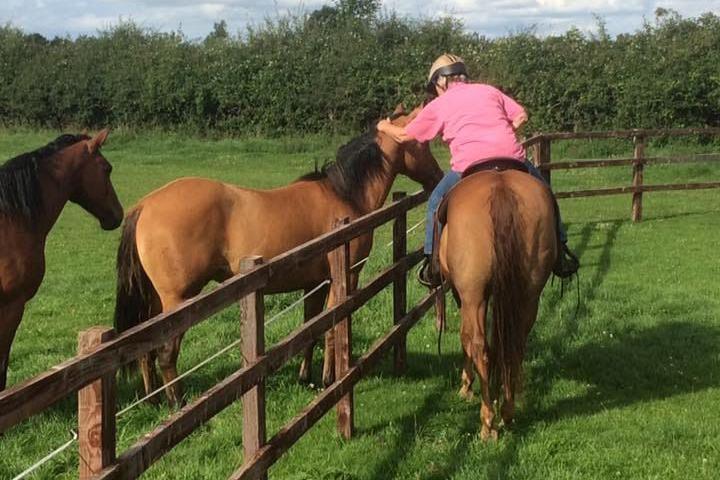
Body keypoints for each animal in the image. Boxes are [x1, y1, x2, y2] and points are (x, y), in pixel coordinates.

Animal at [114, 107, 442, 406]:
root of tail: (144, 206)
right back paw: (177, 403)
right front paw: (329, 380)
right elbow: (333, 328)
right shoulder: (344, 277)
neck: (344, 195)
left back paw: (154, 400)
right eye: (422, 143)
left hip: (156, 302)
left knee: (146, 350)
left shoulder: (315, 283)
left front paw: (306, 377)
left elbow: (311, 328)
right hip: (178, 301)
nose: (438, 177)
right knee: (166, 354)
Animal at [434, 164, 556, 438]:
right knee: (514, 344)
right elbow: (498, 340)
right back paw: (507, 412)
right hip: (528, 294)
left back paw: (487, 422)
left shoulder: (462, 296)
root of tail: (501, 188)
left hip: (474, 296)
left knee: (480, 346)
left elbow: (467, 338)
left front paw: (466, 386)